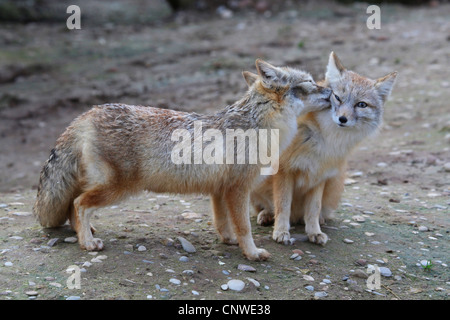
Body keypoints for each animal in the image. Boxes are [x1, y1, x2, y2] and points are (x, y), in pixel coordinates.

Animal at [32, 58, 330, 262]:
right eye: (310, 85)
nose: (332, 93)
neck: (258, 126)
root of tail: (88, 113)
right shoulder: (238, 188)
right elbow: (244, 226)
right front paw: (253, 253)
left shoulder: (220, 190)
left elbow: (223, 222)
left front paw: (229, 241)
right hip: (118, 189)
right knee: (79, 203)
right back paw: (88, 243)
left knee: (72, 205)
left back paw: (83, 233)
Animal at [250, 51, 398, 245]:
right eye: (337, 97)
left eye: (361, 104)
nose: (343, 119)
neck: (325, 139)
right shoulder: (283, 170)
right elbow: (282, 204)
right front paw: (281, 231)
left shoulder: (319, 175)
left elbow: (314, 208)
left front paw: (314, 232)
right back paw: (267, 214)